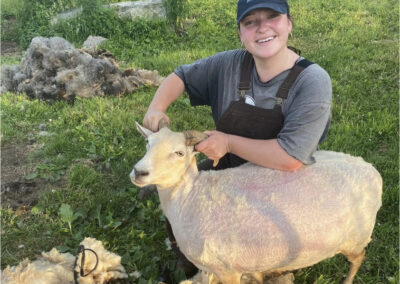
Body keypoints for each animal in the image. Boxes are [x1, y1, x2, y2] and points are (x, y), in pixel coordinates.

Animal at [130, 121, 382, 284]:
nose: (139, 172)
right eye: (147, 143)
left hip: (355, 239)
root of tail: (371, 170)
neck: (190, 198)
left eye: (179, 153)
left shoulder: (227, 269)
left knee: (359, 258)